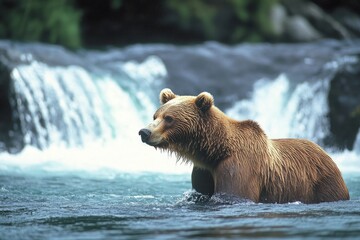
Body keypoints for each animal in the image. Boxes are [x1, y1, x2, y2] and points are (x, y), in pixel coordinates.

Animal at [138, 88, 348, 202]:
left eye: (169, 118)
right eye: (155, 115)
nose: (144, 132)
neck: (214, 151)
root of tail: (326, 153)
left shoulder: (239, 167)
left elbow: (233, 194)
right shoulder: (203, 172)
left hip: (322, 183)